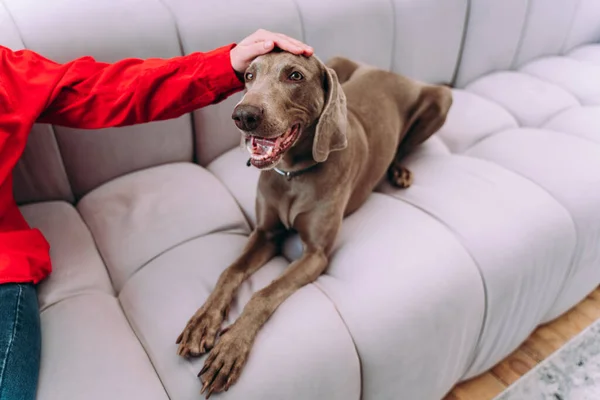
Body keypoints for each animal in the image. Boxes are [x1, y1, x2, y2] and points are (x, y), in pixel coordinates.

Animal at [173, 48, 450, 396]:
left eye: (295, 76)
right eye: (248, 75)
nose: (243, 116)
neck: (293, 174)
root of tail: (388, 70)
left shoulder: (316, 255)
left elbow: (264, 294)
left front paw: (230, 348)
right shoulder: (265, 232)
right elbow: (231, 271)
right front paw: (202, 322)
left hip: (441, 99)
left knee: (403, 145)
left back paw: (398, 170)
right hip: (340, 62)